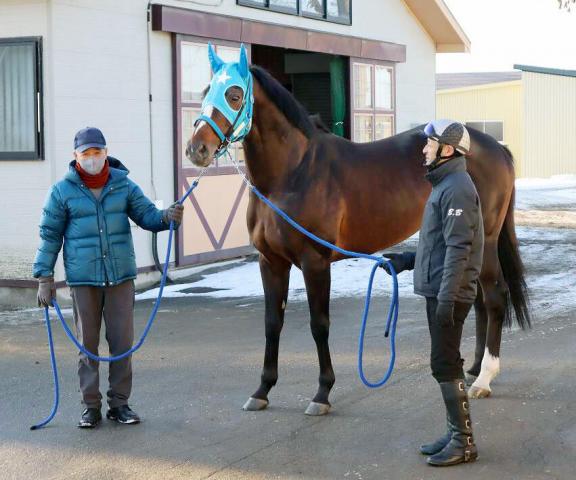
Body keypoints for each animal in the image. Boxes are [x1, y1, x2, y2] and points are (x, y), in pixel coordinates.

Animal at [186, 46, 532, 416]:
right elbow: (272, 323)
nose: (196, 149)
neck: (293, 172)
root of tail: (496, 147)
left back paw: (485, 378)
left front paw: (322, 393)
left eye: (234, 95)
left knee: (494, 297)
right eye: (204, 93)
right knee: (479, 300)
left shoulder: (314, 262)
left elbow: (319, 325)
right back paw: (475, 367)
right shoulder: (271, 262)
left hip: (487, 240)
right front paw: (262, 389)